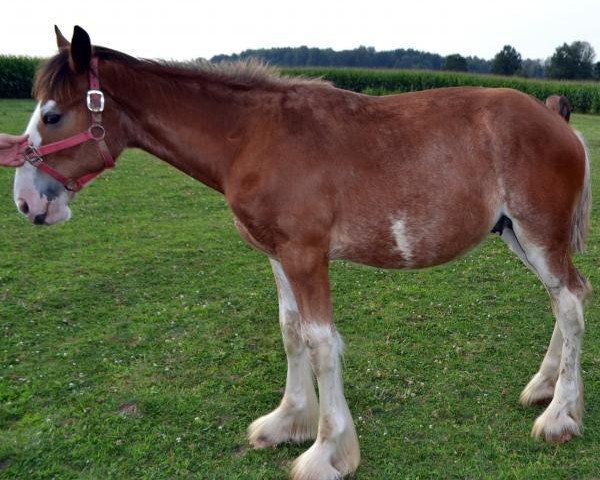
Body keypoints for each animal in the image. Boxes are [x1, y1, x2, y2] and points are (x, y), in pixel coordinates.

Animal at [12, 27, 592, 480]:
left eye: (53, 115)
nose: (26, 201)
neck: (252, 136)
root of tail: (558, 120)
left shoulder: (306, 257)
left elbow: (320, 344)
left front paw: (328, 451)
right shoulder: (278, 256)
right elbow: (291, 333)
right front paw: (289, 421)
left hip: (538, 235)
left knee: (570, 303)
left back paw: (560, 416)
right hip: (516, 236)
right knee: (566, 297)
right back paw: (544, 386)